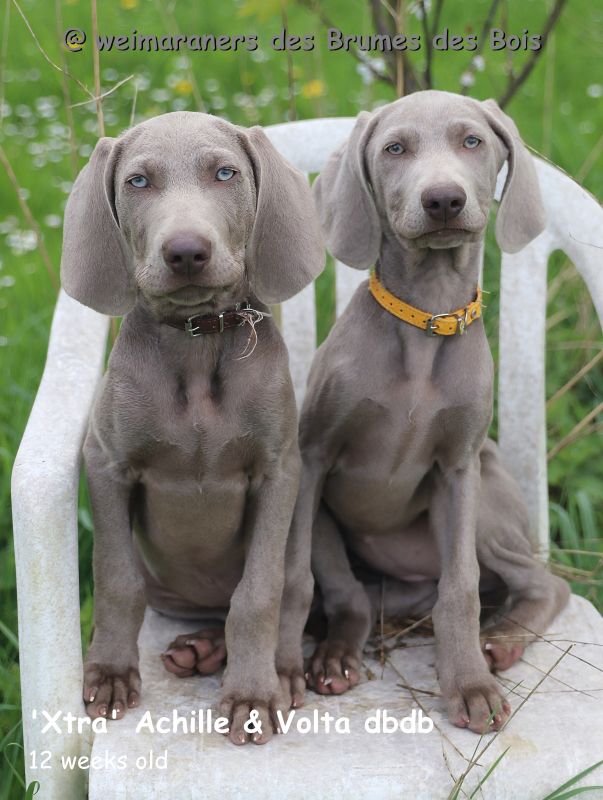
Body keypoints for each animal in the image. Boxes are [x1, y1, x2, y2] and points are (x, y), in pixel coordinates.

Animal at [298, 90, 572, 736]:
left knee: (544, 582)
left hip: (490, 501)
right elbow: (321, 578)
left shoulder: (458, 469)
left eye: (473, 141)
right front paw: (324, 657)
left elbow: (462, 586)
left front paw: (470, 684)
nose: (443, 199)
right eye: (395, 148)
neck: (426, 320)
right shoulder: (314, 459)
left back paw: (501, 640)